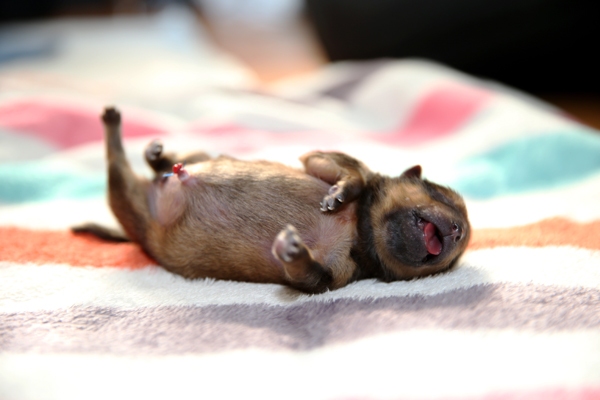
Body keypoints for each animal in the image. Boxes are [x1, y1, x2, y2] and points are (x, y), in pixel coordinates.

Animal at [74, 107, 470, 293]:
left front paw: (291, 250)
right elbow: (352, 173)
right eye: (437, 192)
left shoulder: (335, 274)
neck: (361, 228)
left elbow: (308, 275)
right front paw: (339, 194)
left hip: (130, 201)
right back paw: (138, 140)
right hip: (157, 180)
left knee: (120, 168)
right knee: (138, 159)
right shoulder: (324, 158)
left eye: (452, 261)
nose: (457, 231)